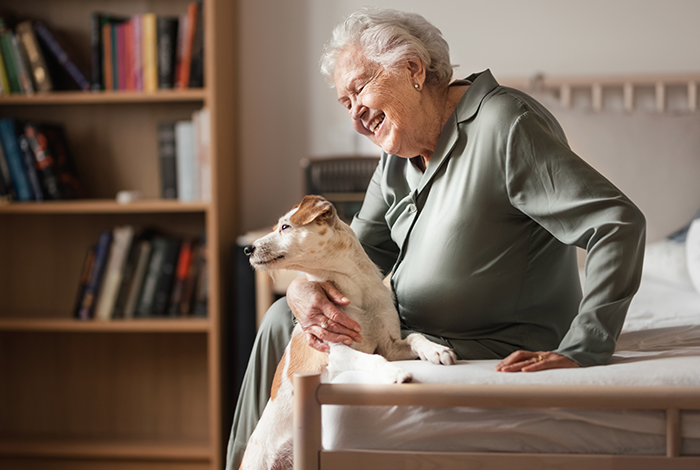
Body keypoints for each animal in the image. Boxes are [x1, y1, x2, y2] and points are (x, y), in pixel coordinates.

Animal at [241, 196, 456, 470]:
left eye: (285, 227)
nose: (247, 249)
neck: (354, 290)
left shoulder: (391, 345)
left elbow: (415, 337)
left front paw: (436, 350)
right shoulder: (337, 351)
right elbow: (375, 359)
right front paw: (395, 373)